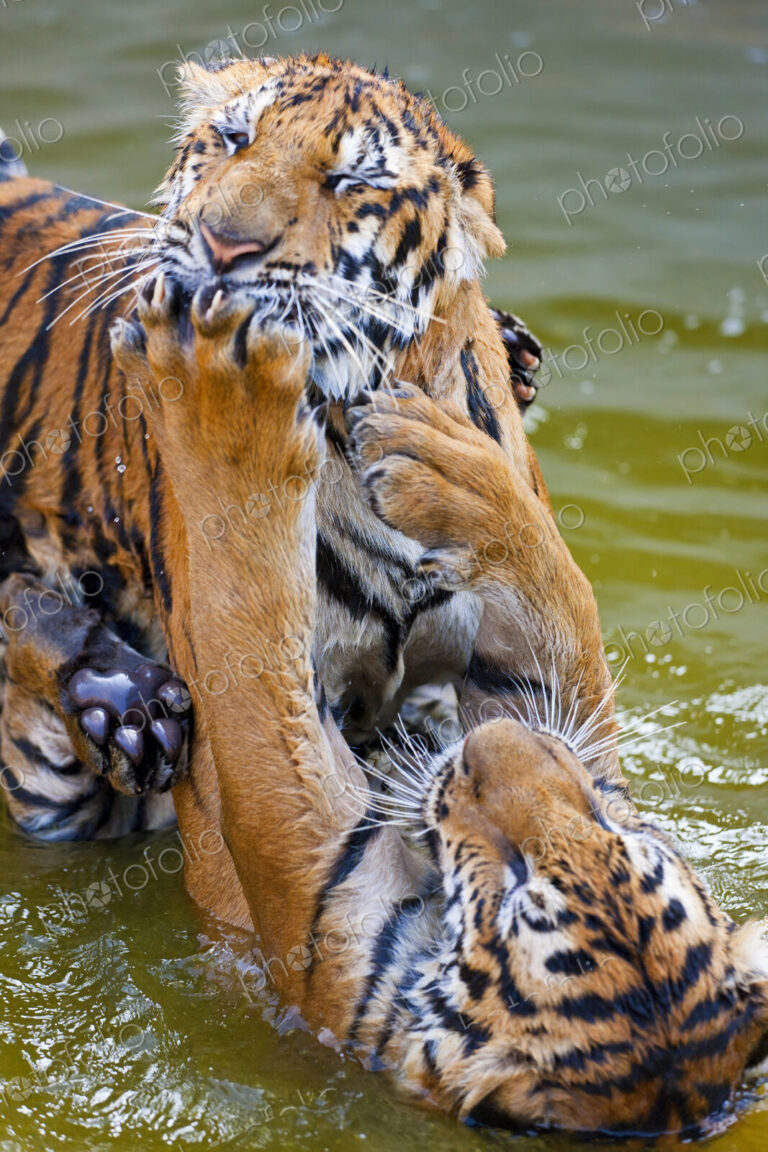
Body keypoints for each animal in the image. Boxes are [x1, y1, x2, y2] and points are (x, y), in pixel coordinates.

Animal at [108, 269, 768, 1138]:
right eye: (610, 832)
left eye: (518, 879)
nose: (495, 745)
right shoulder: (570, 734)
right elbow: (560, 605)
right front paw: (445, 461)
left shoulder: (310, 885)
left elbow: (247, 611)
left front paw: (216, 384)